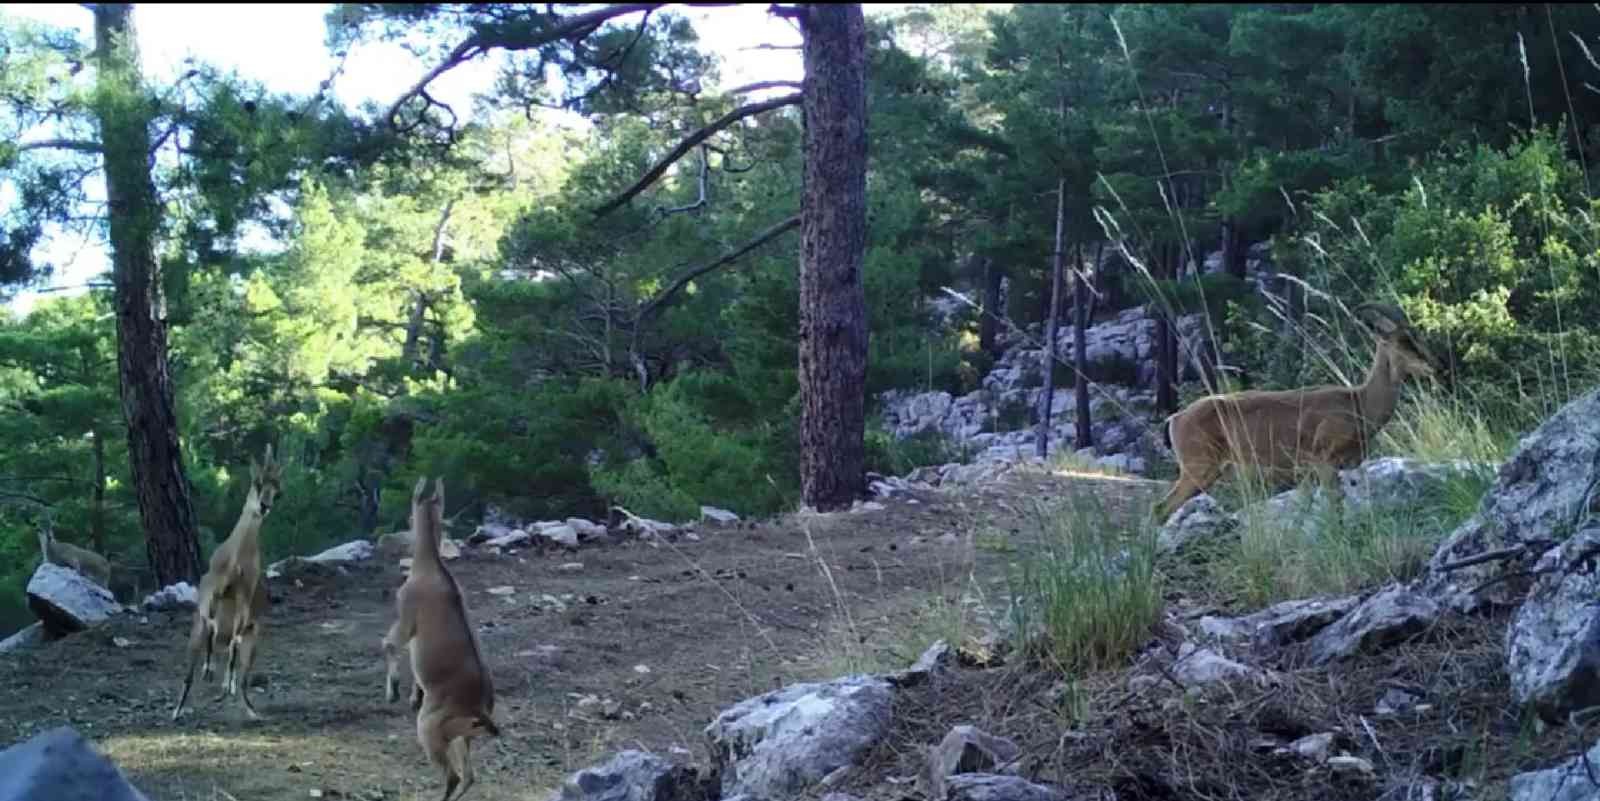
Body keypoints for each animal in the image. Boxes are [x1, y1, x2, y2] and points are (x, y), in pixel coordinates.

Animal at [173, 441, 283, 722]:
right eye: (257, 482)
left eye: (278, 492)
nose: (264, 506)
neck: (235, 565)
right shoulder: (209, 593)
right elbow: (211, 623)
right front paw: (210, 670)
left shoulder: (244, 602)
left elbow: (234, 641)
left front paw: (224, 682)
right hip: (195, 635)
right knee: (189, 674)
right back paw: (178, 710)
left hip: (254, 640)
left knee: (242, 674)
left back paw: (245, 705)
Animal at [382, 473, 496, 799]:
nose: (407, 523)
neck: (428, 567)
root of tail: (478, 711)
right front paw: (413, 695)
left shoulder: (407, 617)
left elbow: (389, 644)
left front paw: (394, 691)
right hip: (460, 736)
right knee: (469, 776)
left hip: (430, 730)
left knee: (454, 776)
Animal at [1152, 300, 1440, 524]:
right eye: (1403, 340)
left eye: (1416, 336)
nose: (1433, 365)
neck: (1358, 402)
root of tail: (1174, 420)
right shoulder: (1324, 462)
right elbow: (1333, 507)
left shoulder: (1316, 472)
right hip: (1197, 469)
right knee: (1160, 508)